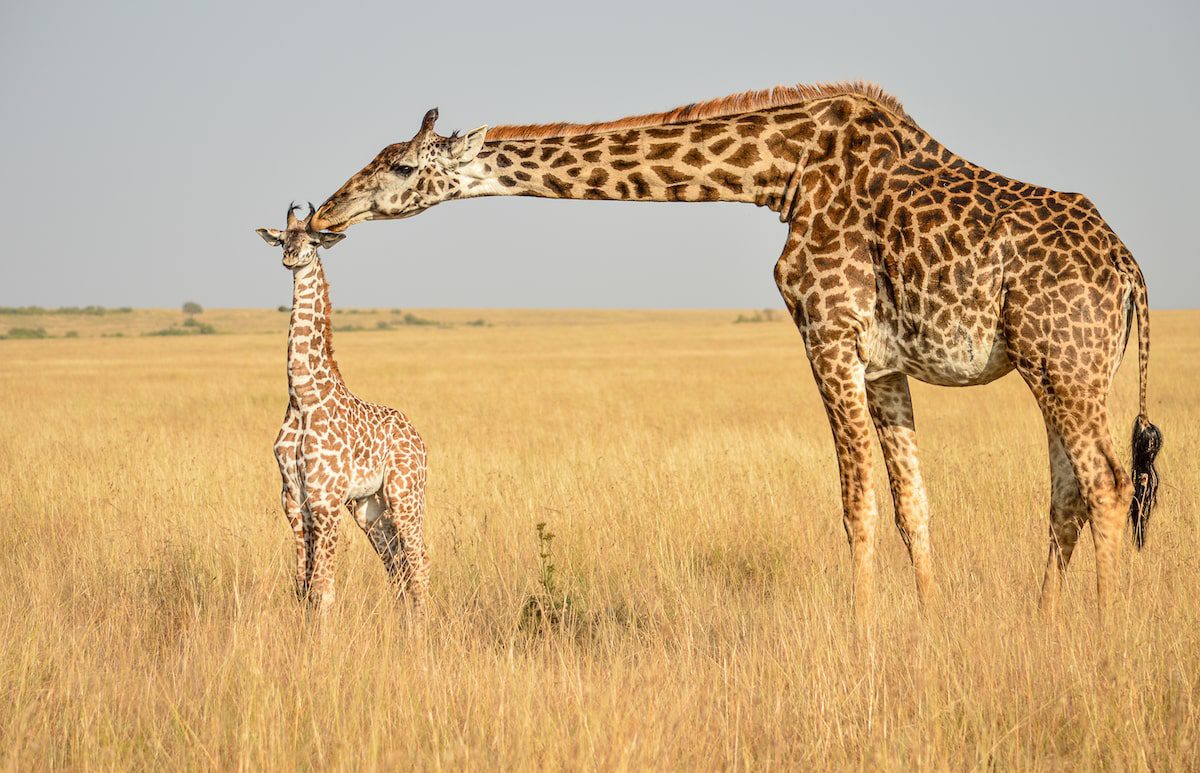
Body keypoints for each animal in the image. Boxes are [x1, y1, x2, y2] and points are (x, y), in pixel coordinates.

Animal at [255, 204, 429, 613]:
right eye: (283, 239)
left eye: (314, 241)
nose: (290, 257)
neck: (302, 397)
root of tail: (418, 438)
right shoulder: (293, 498)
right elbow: (303, 587)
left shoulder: (326, 497)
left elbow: (323, 589)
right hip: (368, 505)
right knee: (396, 563)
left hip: (405, 493)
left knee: (419, 560)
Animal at [310, 82, 1163, 621]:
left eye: (402, 166)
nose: (324, 213)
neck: (778, 174)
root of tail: (1130, 271)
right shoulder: (885, 361)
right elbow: (911, 502)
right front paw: (927, 628)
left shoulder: (827, 332)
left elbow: (855, 502)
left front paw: (865, 644)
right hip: (1059, 367)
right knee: (1068, 493)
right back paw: (1047, 625)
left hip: (1062, 361)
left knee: (1108, 482)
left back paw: (1105, 635)